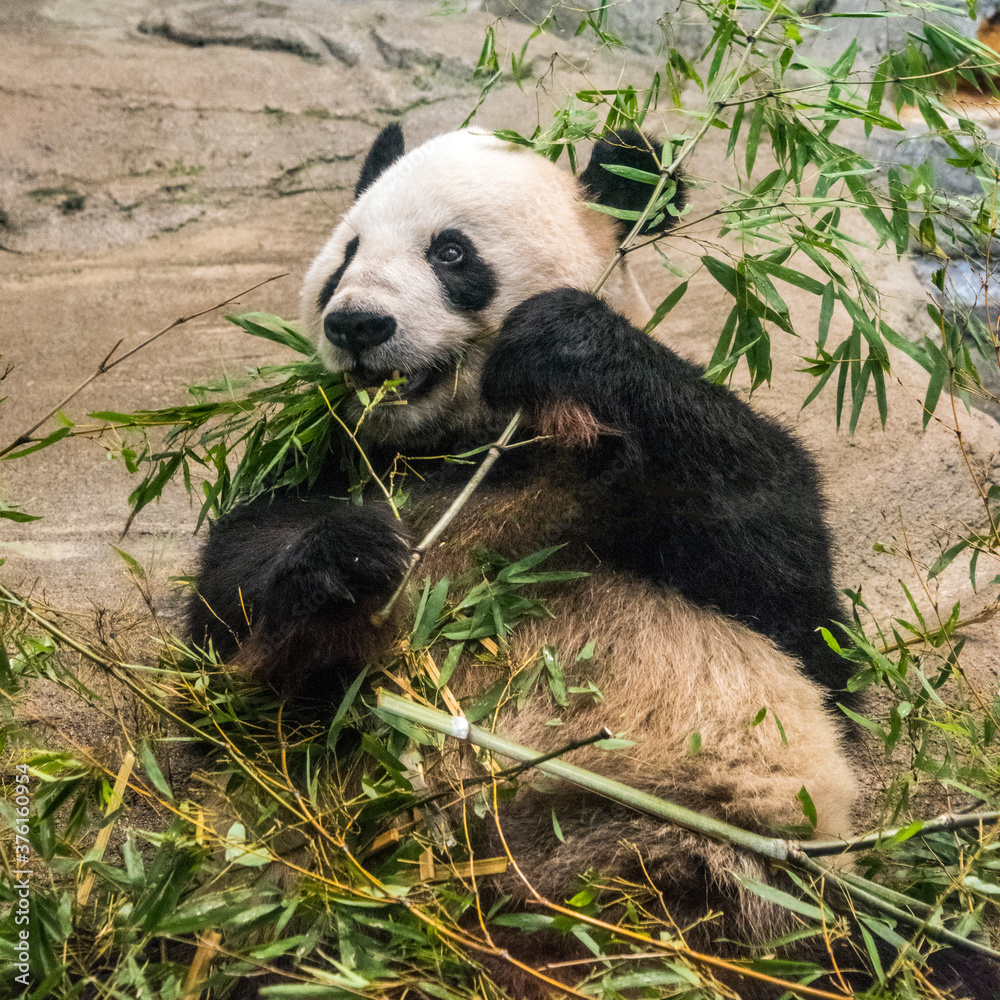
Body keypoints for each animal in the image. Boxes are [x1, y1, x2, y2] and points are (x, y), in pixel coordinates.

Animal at [189, 125, 997, 998]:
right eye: (347, 254)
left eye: (451, 252)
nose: (358, 324)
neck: (469, 445)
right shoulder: (354, 475)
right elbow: (230, 626)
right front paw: (344, 557)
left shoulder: (616, 465)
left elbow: (795, 605)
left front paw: (565, 335)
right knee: (281, 957)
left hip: (766, 887)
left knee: (909, 955)